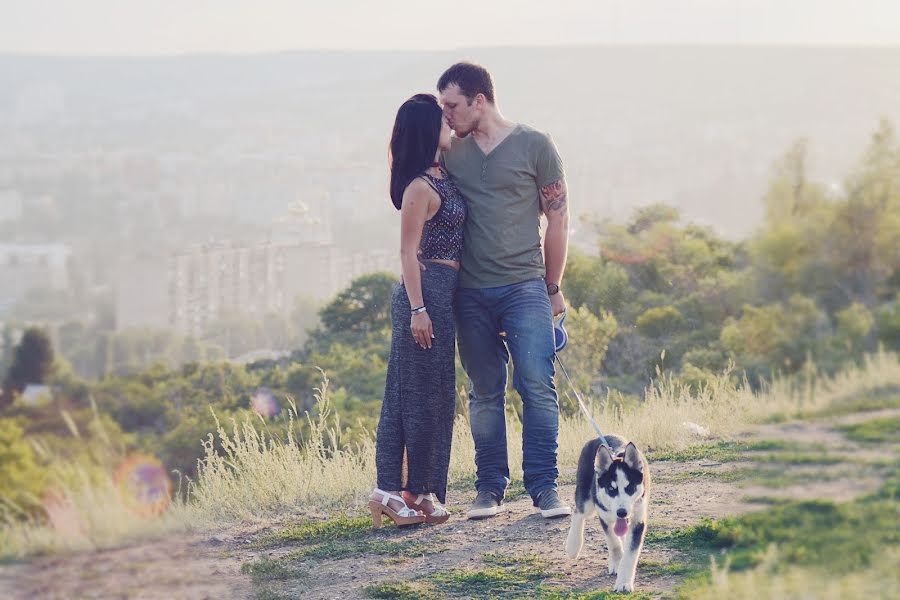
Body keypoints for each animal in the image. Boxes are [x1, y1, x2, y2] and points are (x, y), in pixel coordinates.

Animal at [568, 434, 652, 592]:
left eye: (630, 487)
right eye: (611, 489)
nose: (621, 512)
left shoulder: (638, 519)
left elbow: (630, 552)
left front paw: (624, 582)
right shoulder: (604, 516)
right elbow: (613, 542)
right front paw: (617, 562)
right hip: (587, 498)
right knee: (578, 512)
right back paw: (573, 545)